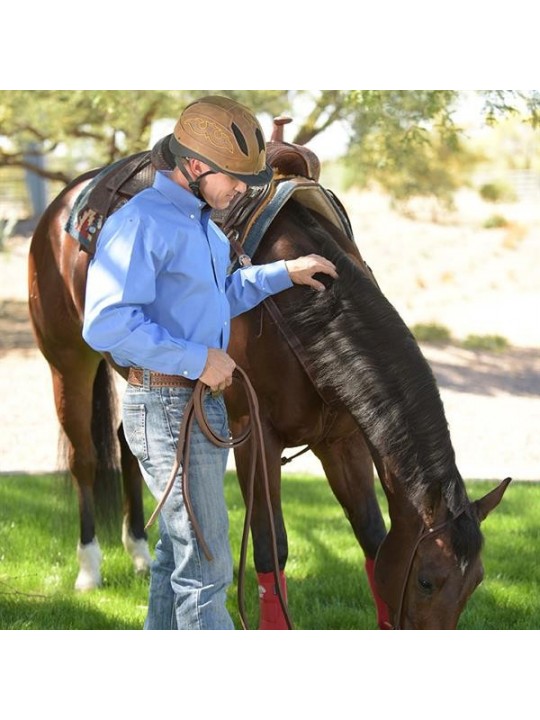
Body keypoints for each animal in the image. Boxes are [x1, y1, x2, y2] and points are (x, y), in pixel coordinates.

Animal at [27, 155, 508, 628]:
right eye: (427, 581)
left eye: (476, 582)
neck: (303, 314)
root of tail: (67, 200)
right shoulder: (254, 438)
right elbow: (270, 548)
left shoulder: (342, 441)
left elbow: (371, 536)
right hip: (68, 363)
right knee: (85, 460)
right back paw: (89, 568)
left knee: (130, 448)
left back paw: (140, 554)